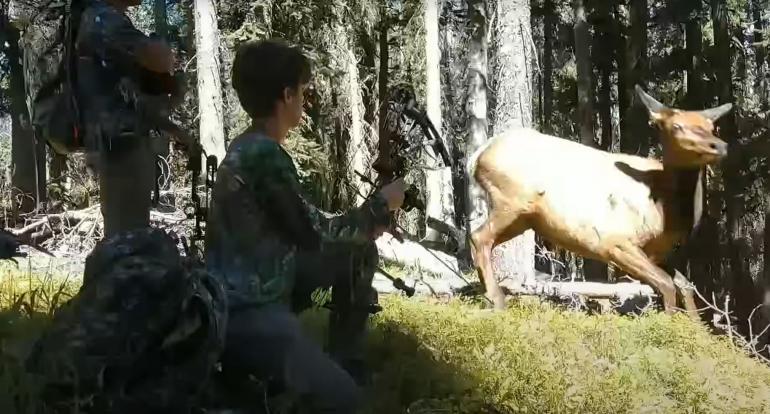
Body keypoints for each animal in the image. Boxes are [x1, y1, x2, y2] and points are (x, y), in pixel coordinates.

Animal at [464, 84, 728, 316]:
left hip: (524, 218)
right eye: (677, 126)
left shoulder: (657, 253)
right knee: (479, 236)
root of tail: (477, 156)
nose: (720, 146)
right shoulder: (615, 242)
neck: (666, 210)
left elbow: (685, 284)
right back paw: (497, 300)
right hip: (510, 201)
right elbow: (666, 285)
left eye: (711, 125)